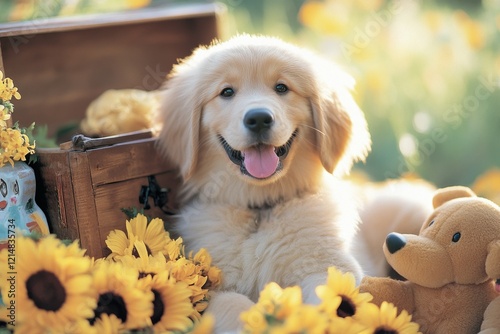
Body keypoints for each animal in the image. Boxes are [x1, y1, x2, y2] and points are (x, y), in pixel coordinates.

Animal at [156, 35, 372, 332]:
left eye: (281, 87)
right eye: (226, 92)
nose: (258, 118)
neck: (260, 208)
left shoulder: (330, 265)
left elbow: (326, 298)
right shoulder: (206, 287)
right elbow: (233, 305)